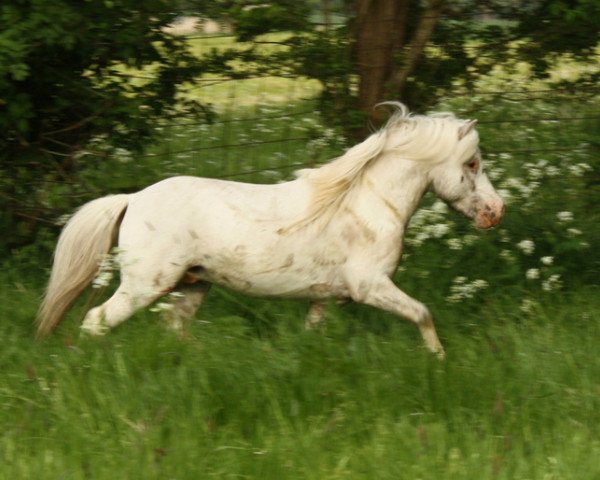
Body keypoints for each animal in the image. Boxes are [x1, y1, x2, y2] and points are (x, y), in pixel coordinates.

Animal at [37, 103, 504, 358]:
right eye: (472, 163)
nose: (496, 211)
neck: (368, 205)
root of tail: (132, 199)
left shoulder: (325, 298)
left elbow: (314, 334)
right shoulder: (370, 286)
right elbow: (423, 313)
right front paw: (440, 360)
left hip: (192, 286)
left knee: (174, 330)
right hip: (144, 284)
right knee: (96, 321)